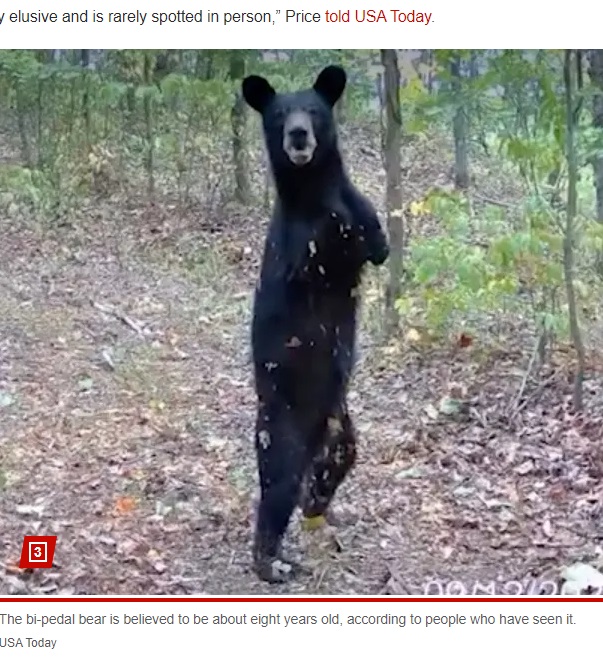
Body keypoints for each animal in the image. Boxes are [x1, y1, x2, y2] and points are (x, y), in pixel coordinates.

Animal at [243, 65, 390, 580]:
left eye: (314, 110)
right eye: (280, 114)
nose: (299, 135)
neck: (313, 189)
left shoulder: (362, 214)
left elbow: (376, 240)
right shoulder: (298, 245)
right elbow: (318, 250)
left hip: (339, 423)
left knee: (338, 459)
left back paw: (316, 501)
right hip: (282, 425)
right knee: (277, 487)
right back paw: (271, 561)